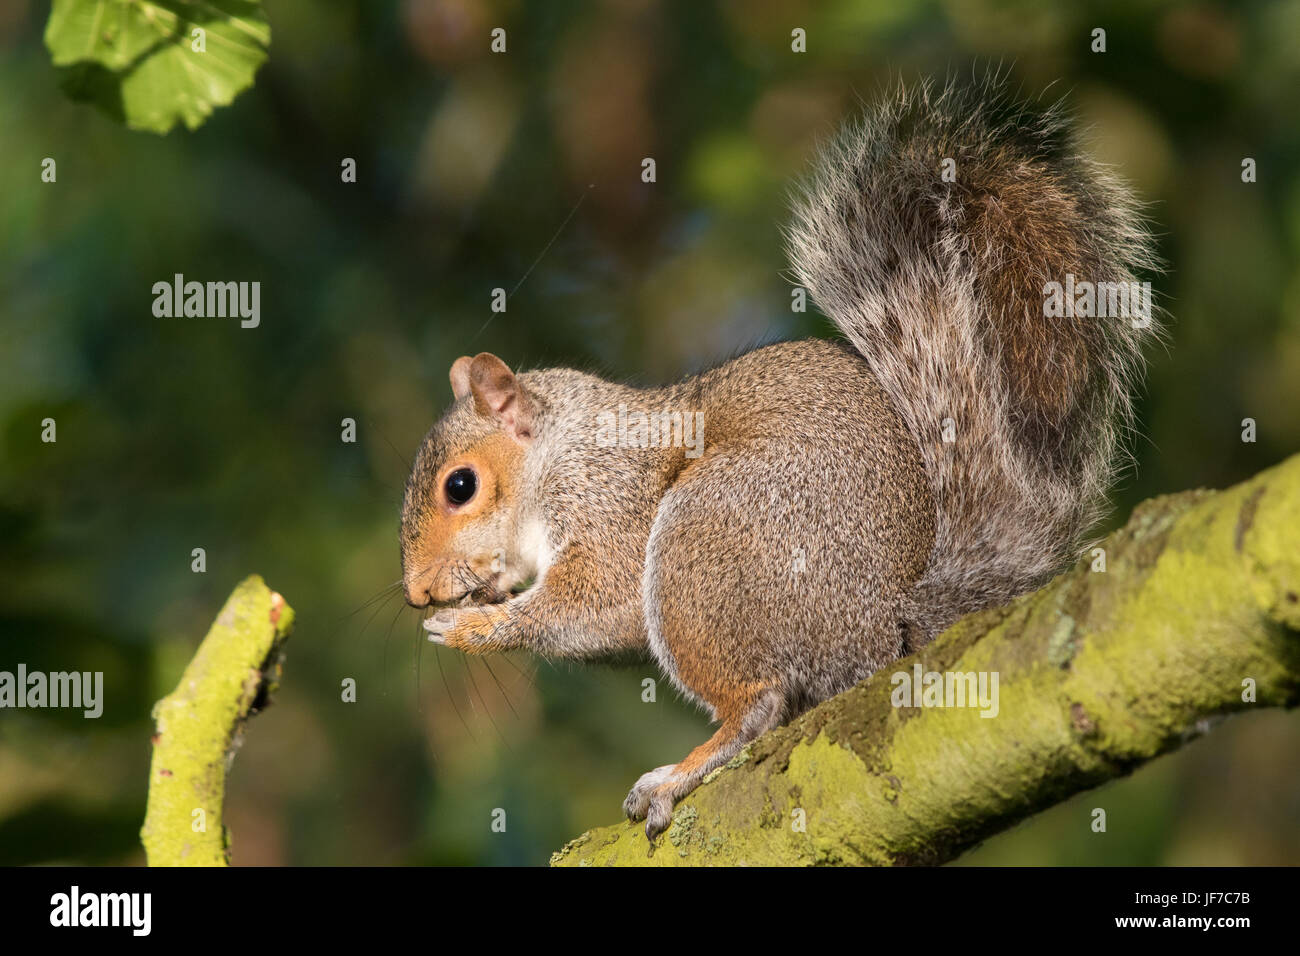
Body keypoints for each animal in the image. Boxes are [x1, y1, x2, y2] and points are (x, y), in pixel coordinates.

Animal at [399, 74, 1158, 839]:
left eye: (460, 486)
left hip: (710, 538)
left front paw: (471, 627)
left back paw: (679, 773)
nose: (416, 593)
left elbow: (597, 594)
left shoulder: (607, 500)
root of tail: (888, 624)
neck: (557, 451)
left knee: (758, 703)